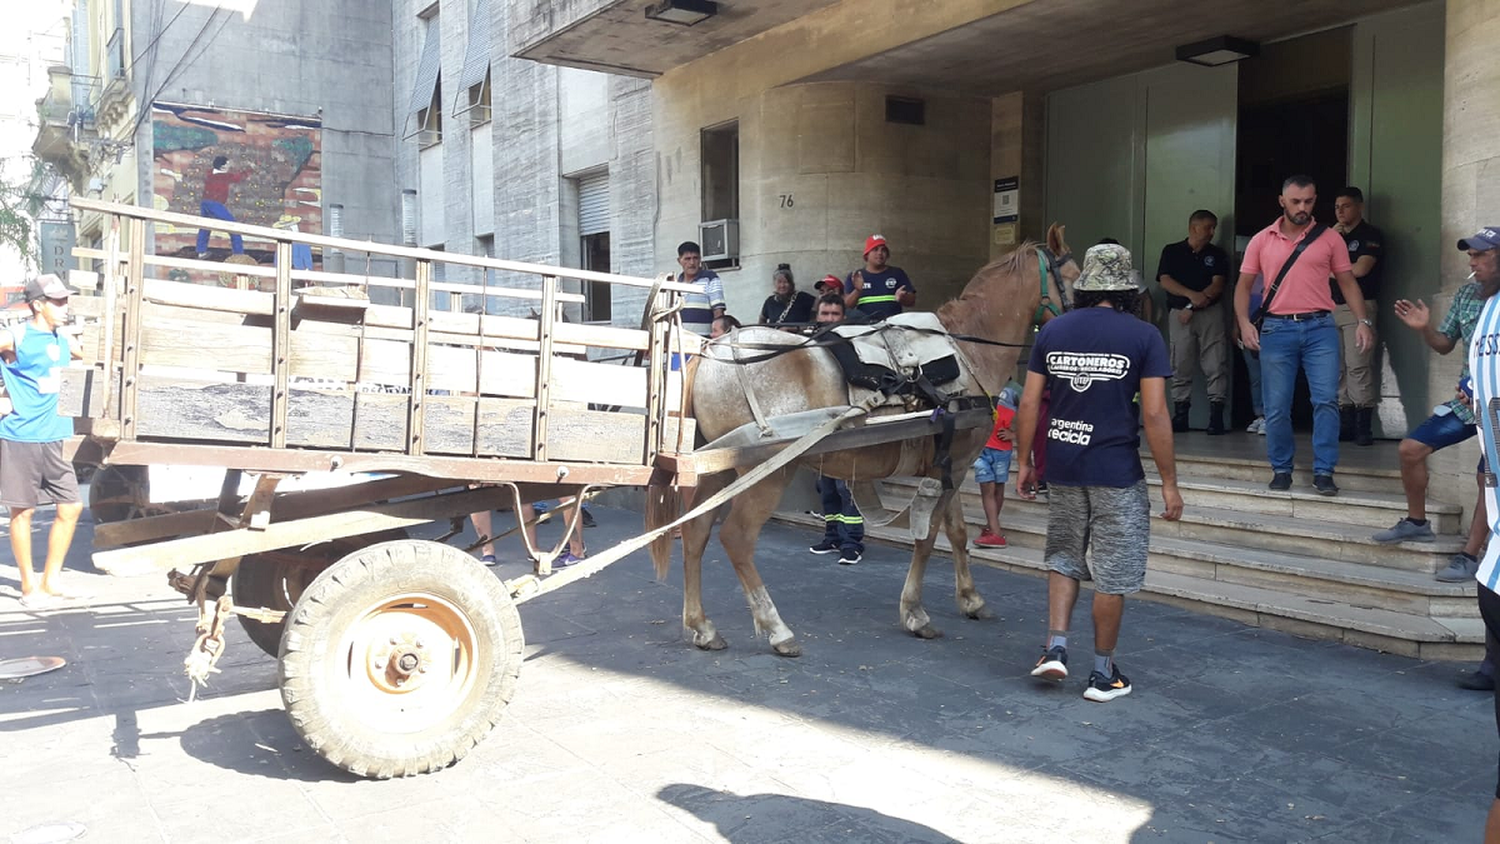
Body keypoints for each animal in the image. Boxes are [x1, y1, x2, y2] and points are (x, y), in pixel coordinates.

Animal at [645, 223, 1080, 653]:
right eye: (1077, 277)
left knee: (696, 532)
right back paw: (777, 629)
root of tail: (712, 351)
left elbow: (956, 533)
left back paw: (702, 625)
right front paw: (915, 613)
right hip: (766, 472)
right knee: (736, 537)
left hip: (718, 468)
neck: (967, 352)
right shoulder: (955, 464)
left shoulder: (951, 463)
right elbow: (928, 536)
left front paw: (971, 598)